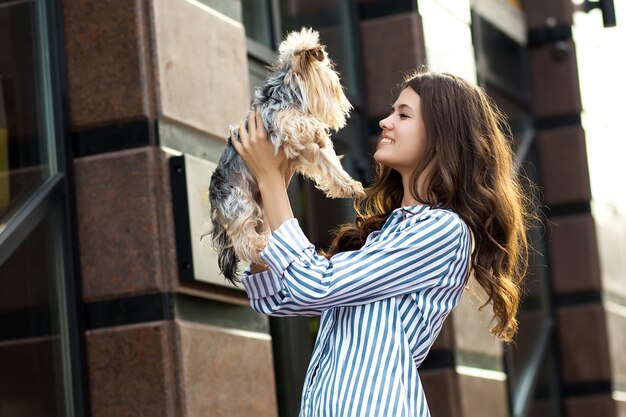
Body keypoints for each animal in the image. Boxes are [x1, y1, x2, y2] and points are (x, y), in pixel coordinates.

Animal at [208, 28, 364, 282]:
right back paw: (262, 246)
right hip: (240, 202)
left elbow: (329, 165)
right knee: (243, 239)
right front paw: (319, 132)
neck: (287, 93)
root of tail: (214, 203)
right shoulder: (280, 121)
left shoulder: (307, 152)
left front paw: (350, 186)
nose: (340, 93)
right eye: (331, 81)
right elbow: (302, 122)